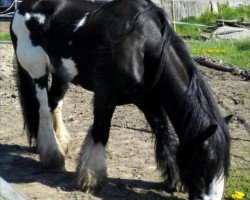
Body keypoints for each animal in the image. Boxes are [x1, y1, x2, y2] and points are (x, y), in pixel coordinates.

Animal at [10, 0, 231, 198]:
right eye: (204, 165)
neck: (143, 46)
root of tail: (21, 7)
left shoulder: (148, 101)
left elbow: (163, 134)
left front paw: (174, 179)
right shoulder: (104, 97)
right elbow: (100, 132)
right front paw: (92, 179)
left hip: (61, 74)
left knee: (54, 104)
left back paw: (61, 144)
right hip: (36, 71)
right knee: (43, 108)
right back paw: (53, 156)